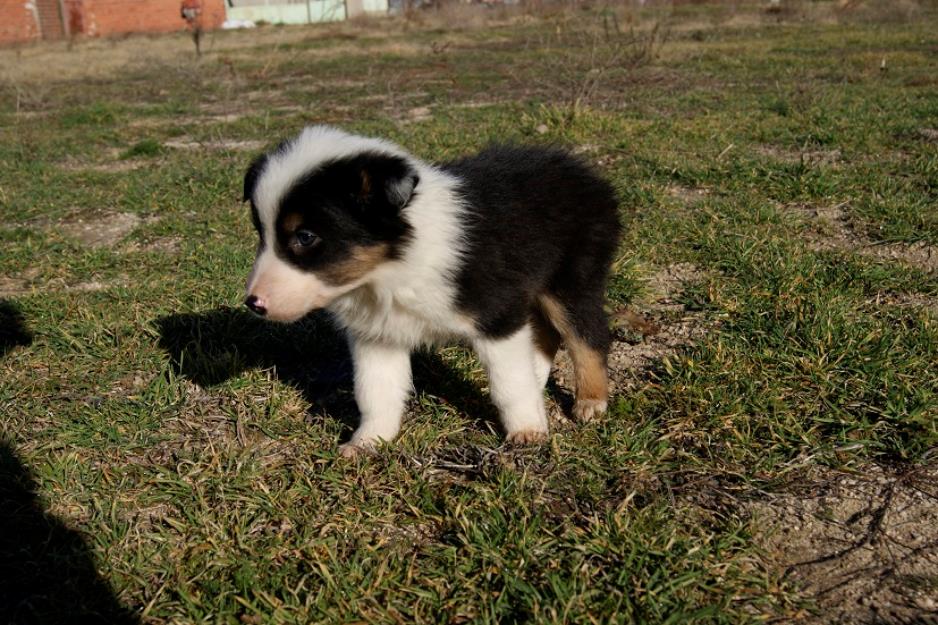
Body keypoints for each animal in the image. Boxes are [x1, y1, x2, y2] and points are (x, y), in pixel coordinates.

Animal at [245, 128, 616, 458]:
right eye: (261, 233)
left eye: (305, 237)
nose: (253, 304)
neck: (389, 268)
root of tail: (585, 172)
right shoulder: (377, 335)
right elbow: (375, 391)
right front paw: (368, 442)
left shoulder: (496, 314)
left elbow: (509, 383)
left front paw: (527, 431)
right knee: (546, 336)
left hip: (572, 278)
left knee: (588, 337)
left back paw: (590, 402)